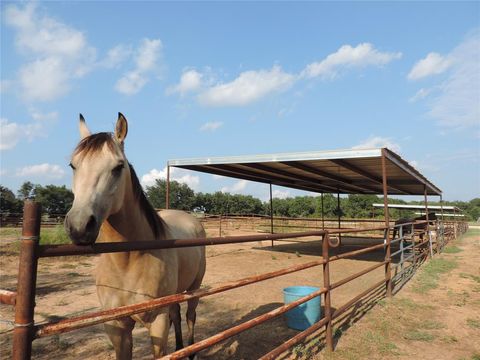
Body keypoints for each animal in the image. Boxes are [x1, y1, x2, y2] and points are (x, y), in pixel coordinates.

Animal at [64, 113, 205, 360]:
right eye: (73, 165)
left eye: (118, 167)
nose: (79, 227)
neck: (128, 263)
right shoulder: (117, 327)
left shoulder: (157, 321)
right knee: (177, 314)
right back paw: (180, 348)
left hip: (194, 288)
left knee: (190, 316)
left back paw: (190, 350)